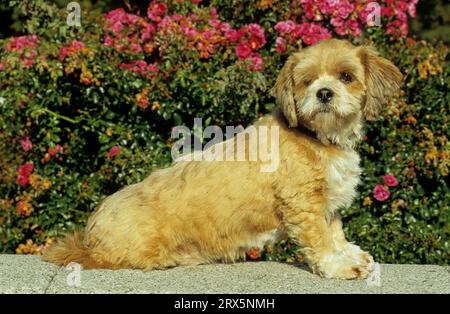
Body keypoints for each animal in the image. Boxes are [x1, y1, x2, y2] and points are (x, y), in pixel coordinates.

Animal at [44, 39, 404, 280]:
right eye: (307, 81)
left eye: (346, 77)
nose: (324, 93)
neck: (318, 137)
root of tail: (89, 238)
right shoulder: (304, 204)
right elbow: (321, 239)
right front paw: (340, 265)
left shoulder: (327, 200)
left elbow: (336, 230)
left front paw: (348, 252)